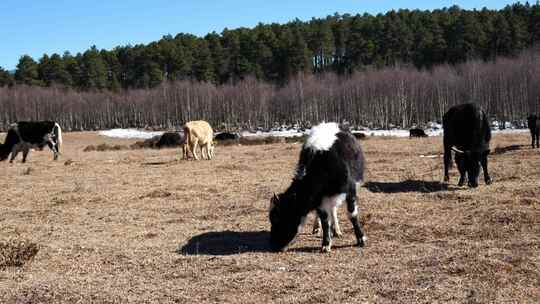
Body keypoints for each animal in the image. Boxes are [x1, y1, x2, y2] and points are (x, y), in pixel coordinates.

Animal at [270, 122, 368, 253]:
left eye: (276, 217)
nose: (274, 245)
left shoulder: (350, 190)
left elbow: (352, 214)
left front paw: (361, 238)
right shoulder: (319, 199)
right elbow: (325, 220)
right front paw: (326, 244)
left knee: (334, 209)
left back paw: (336, 230)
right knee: (330, 210)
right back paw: (319, 228)